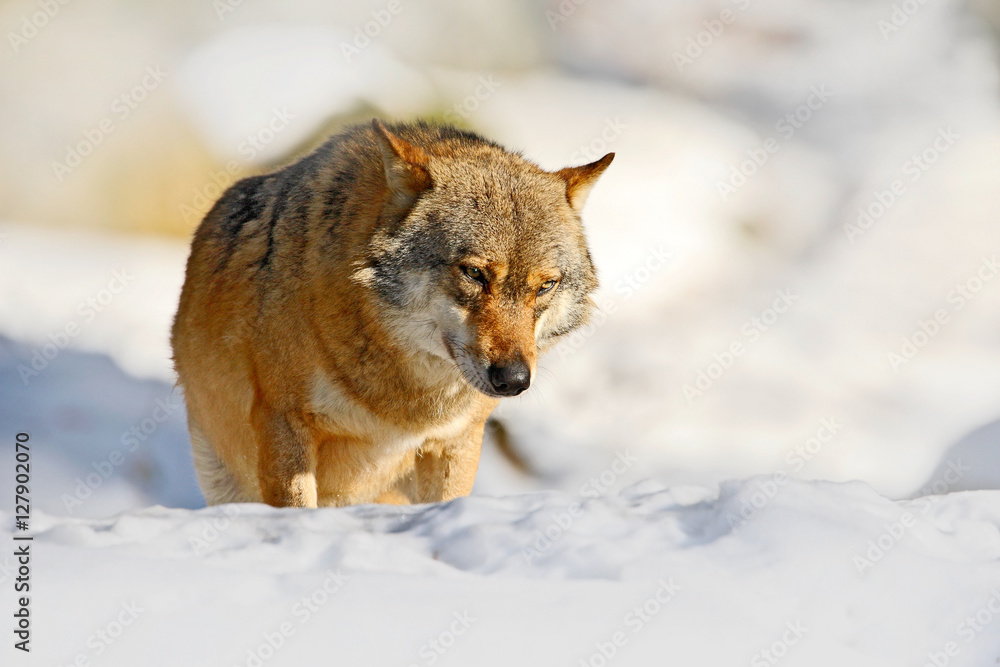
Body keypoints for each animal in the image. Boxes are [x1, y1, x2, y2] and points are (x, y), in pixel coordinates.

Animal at [171, 119, 613, 507]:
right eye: (474, 273)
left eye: (545, 286)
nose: (514, 379)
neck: (402, 403)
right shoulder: (283, 422)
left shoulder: (457, 440)